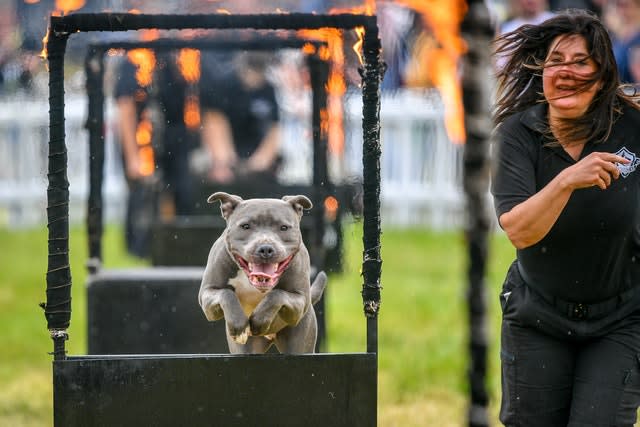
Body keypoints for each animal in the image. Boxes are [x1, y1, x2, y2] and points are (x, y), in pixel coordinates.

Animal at [199, 194, 330, 354]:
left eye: (284, 227)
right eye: (245, 226)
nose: (266, 248)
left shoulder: (300, 301)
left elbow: (276, 294)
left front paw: (259, 319)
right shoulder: (207, 294)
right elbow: (226, 293)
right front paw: (238, 326)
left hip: (301, 336)